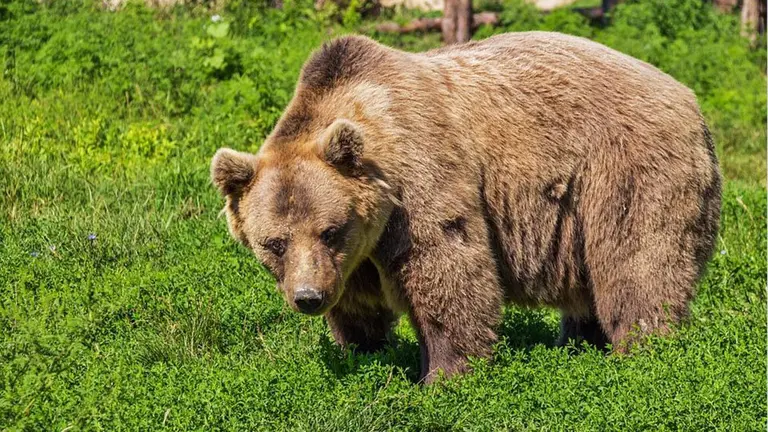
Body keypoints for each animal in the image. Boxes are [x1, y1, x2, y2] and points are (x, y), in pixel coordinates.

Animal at [210, 32, 721, 383]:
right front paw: (364, 352)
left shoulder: (419, 183)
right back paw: (577, 345)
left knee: (637, 264)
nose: (308, 298)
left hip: (626, 171)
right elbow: (358, 305)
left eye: (329, 230)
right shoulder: (354, 255)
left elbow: (448, 271)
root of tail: (690, 99)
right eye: (274, 243)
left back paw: (642, 352)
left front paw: (444, 375)